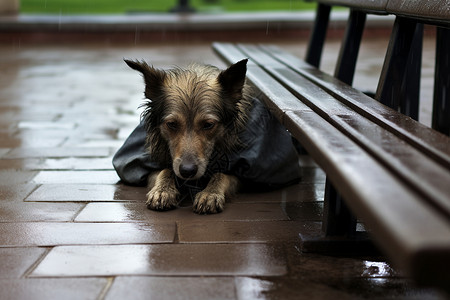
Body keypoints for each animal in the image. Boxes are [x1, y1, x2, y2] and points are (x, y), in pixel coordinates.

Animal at [125, 58, 253, 213]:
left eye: (208, 124)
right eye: (172, 124)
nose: (187, 171)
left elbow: (221, 174)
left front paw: (210, 193)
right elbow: (165, 170)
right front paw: (162, 191)